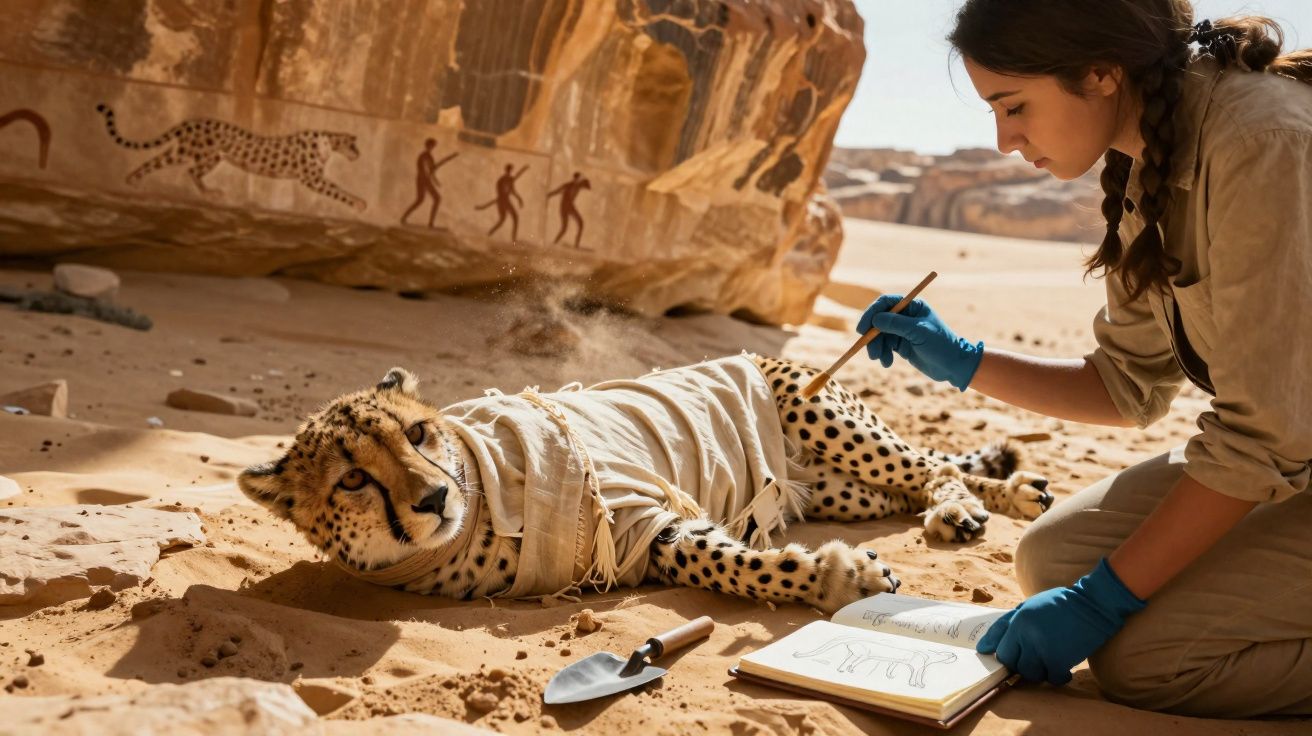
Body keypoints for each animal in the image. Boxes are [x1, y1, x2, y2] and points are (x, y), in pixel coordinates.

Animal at [95, 104, 366, 211]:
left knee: (164, 161)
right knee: (188, 170)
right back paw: (208, 193)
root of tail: (189, 121)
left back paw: (132, 180)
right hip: (199, 153)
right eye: (354, 146)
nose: (358, 154)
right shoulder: (312, 178)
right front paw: (359, 204)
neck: (330, 142)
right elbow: (338, 190)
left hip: (200, 154)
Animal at [238, 355, 1053, 614]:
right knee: (902, 487)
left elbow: (723, 559)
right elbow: (718, 559)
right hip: (834, 489)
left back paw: (975, 508)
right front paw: (833, 575)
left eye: (416, 435)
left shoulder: (631, 507)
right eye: (351, 479)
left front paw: (836, 578)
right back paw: (993, 498)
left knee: (929, 466)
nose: (435, 497)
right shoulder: (638, 534)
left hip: (809, 402)